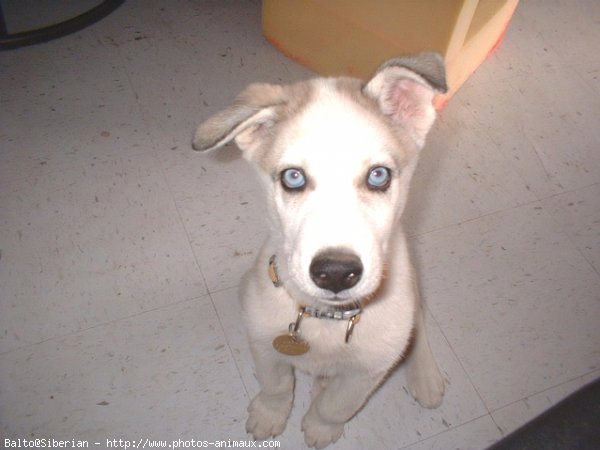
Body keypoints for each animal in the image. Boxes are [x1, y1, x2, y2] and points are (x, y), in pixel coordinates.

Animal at [191, 51, 446, 446]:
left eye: (379, 175)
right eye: (293, 177)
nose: (337, 272)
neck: (324, 317)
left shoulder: (367, 372)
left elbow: (336, 406)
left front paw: (320, 426)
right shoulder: (263, 342)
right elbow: (276, 386)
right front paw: (270, 414)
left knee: (416, 322)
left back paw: (426, 376)